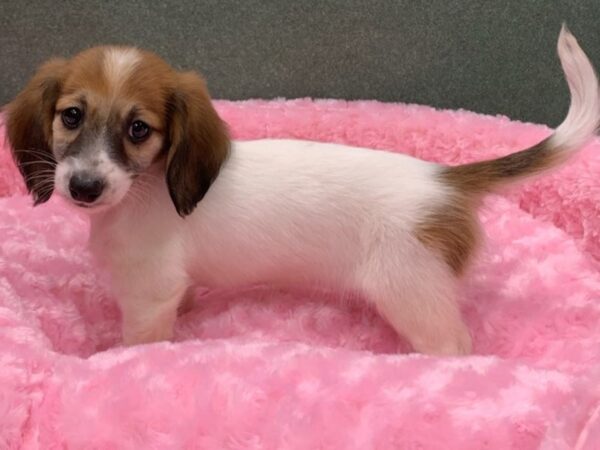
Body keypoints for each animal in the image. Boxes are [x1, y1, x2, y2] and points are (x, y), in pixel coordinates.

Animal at [5, 27, 600, 356]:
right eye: (72, 116)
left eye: (138, 129)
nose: (83, 187)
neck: (144, 189)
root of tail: (445, 179)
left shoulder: (148, 296)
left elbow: (137, 346)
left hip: (412, 294)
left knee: (456, 348)